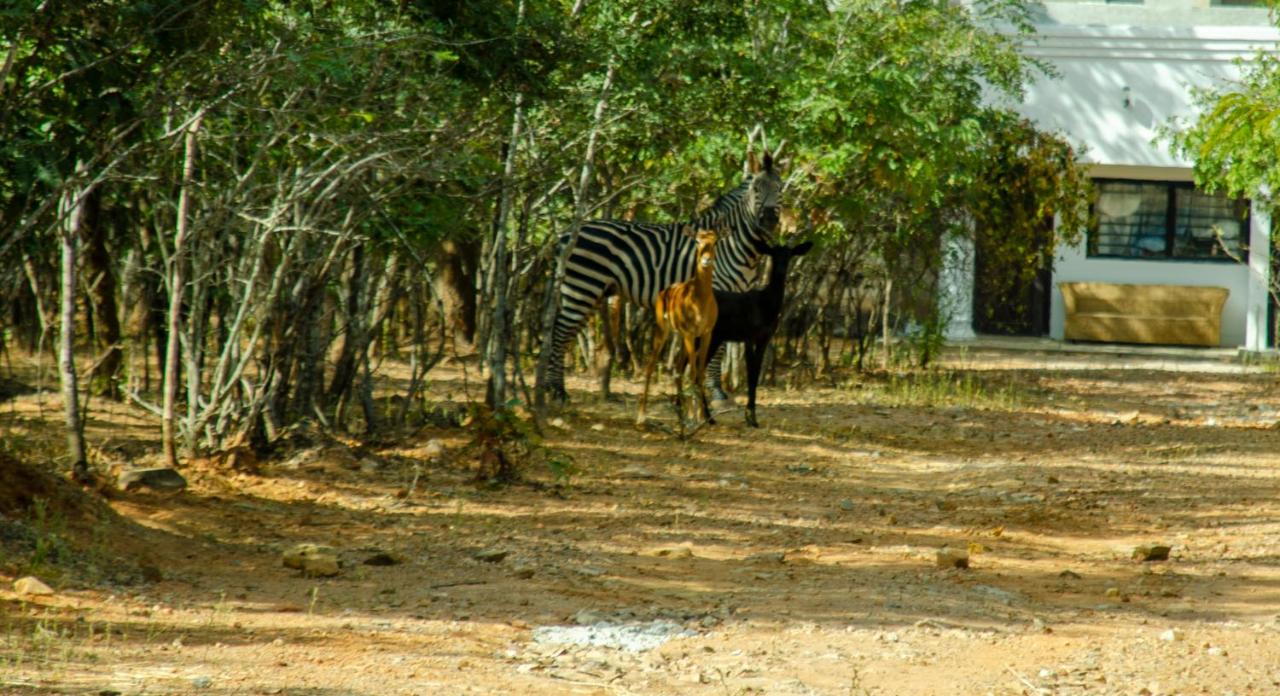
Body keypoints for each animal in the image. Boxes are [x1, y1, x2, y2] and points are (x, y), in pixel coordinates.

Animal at [540, 151, 778, 401]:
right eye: (756, 189)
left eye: (780, 189)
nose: (769, 220)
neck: (735, 243)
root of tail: (566, 234)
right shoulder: (718, 293)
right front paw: (715, 392)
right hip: (582, 286)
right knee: (560, 332)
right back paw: (556, 391)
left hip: (590, 291)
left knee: (565, 332)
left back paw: (552, 388)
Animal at [640, 231, 721, 432]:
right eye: (697, 240)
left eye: (715, 241)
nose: (706, 260)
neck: (700, 299)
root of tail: (665, 291)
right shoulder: (690, 334)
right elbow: (692, 372)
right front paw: (693, 419)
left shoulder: (706, 334)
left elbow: (700, 373)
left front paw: (702, 418)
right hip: (664, 331)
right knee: (650, 366)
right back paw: (641, 417)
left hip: (679, 338)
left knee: (677, 368)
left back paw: (681, 412)